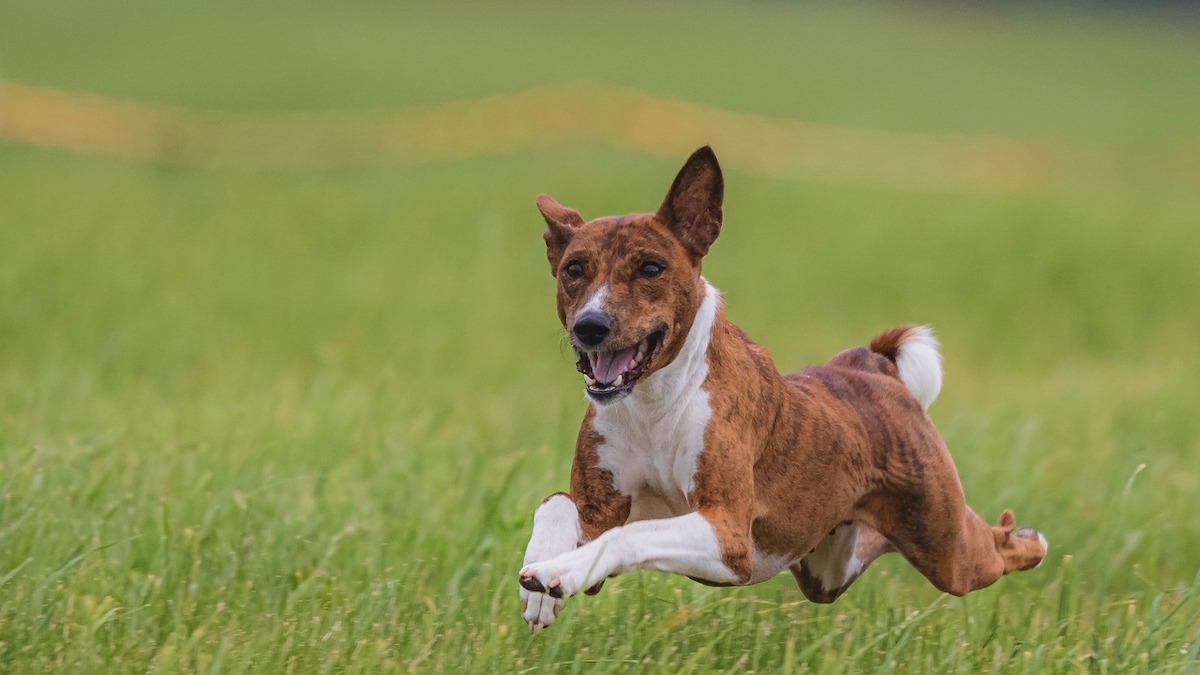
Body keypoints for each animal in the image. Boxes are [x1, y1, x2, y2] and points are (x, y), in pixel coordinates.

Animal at [520, 144, 1046, 629]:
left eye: (650, 268)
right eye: (574, 269)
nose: (590, 326)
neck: (654, 405)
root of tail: (872, 366)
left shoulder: (727, 533)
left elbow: (624, 536)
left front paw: (555, 573)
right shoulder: (603, 509)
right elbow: (556, 503)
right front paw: (543, 578)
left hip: (946, 549)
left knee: (993, 551)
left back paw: (1028, 539)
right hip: (827, 565)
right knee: (865, 545)